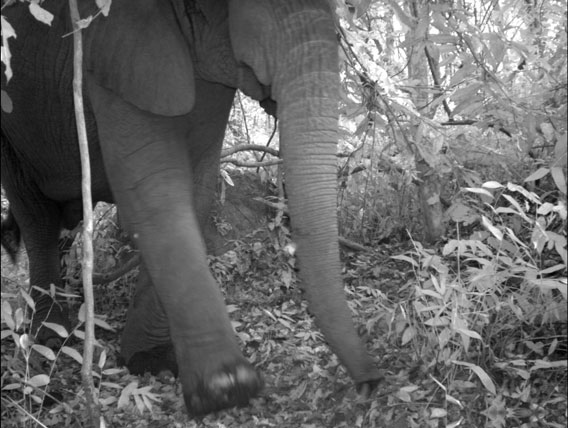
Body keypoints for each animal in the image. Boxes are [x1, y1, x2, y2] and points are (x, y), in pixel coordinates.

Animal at [1, 0, 382, 416]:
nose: (370, 385)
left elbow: (197, 189)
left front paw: (153, 362)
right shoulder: (115, 58)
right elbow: (157, 193)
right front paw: (227, 386)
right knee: (37, 217)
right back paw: (50, 339)